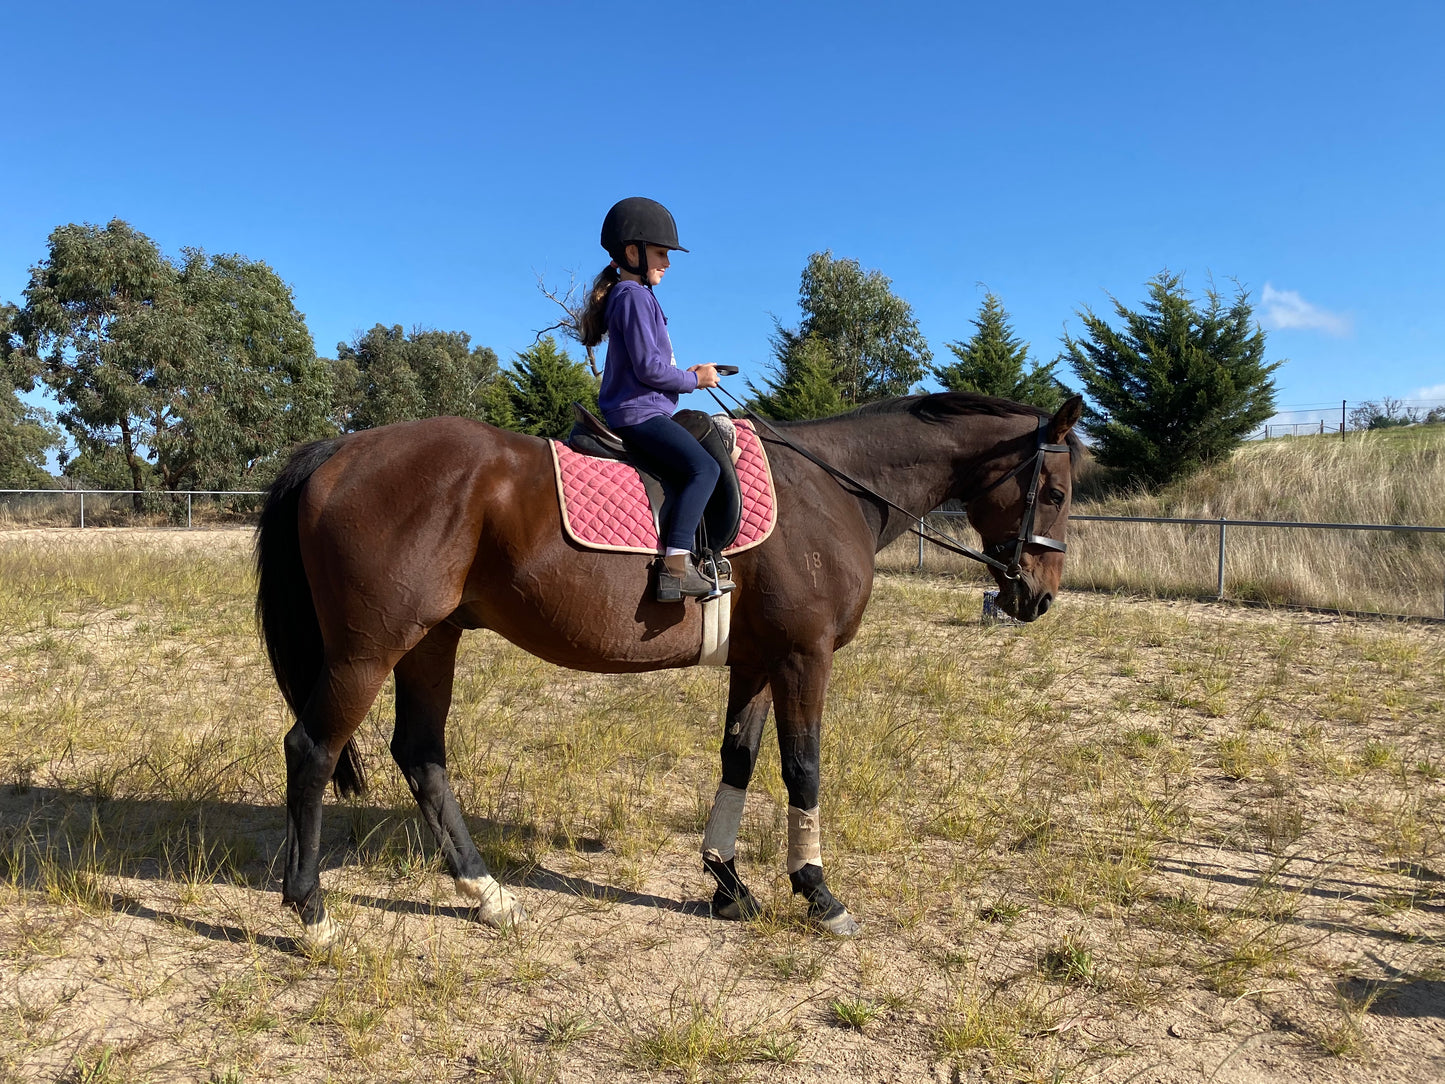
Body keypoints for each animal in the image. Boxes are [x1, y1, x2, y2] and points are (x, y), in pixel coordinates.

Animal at [254, 390, 1080, 942]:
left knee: (421, 755)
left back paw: (487, 896)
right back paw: (310, 912)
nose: (1037, 597)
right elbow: (803, 768)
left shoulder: (755, 657)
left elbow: (738, 759)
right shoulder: (802, 656)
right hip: (369, 648)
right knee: (311, 750)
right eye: (1055, 489)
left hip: (431, 640)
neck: (832, 489)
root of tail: (340, 450)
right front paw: (817, 893)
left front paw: (727, 884)